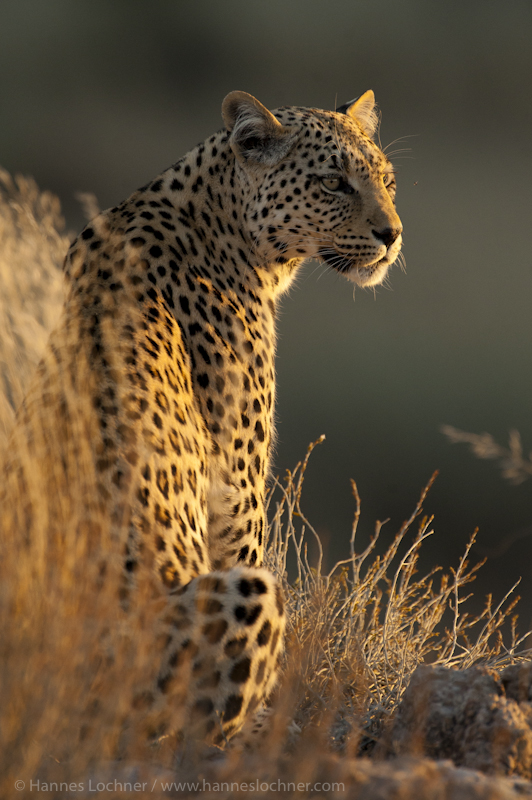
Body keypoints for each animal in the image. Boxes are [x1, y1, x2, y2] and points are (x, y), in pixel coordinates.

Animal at [1, 90, 404, 748]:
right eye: (333, 182)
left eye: (388, 181)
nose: (392, 235)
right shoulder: (238, 492)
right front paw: (273, 720)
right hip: (223, 610)